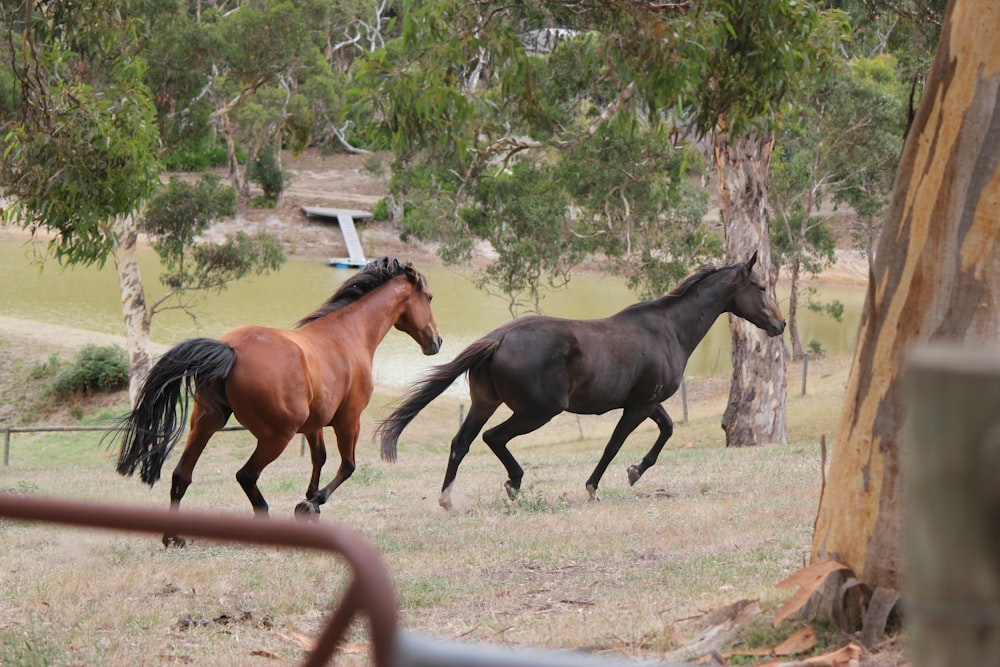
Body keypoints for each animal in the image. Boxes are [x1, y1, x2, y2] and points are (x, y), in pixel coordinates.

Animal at [111, 258, 440, 544]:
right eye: (430, 297)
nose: (437, 342)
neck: (348, 334)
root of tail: (230, 350)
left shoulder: (314, 425)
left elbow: (319, 458)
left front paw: (310, 503)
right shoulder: (349, 420)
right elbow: (348, 466)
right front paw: (312, 503)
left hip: (206, 423)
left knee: (182, 475)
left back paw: (173, 537)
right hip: (276, 436)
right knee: (246, 475)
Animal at [376, 253, 780, 508]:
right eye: (761, 287)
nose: (780, 324)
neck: (669, 330)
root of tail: (499, 338)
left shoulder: (647, 403)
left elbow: (666, 430)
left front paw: (635, 472)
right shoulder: (638, 406)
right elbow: (614, 445)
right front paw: (595, 487)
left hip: (484, 403)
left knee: (462, 442)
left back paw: (448, 499)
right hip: (537, 412)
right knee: (493, 437)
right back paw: (514, 483)